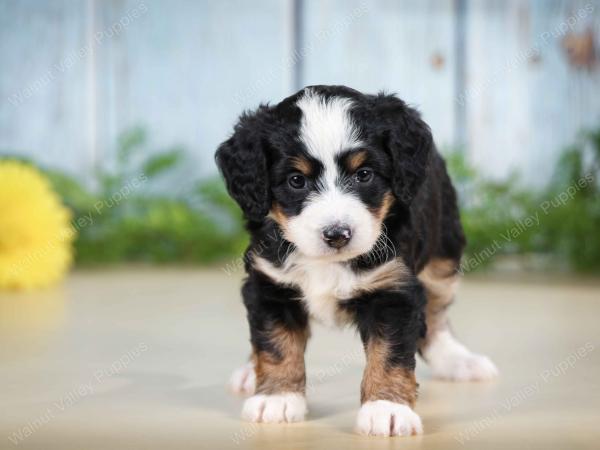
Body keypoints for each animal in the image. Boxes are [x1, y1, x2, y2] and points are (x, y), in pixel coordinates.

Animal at [216, 84, 496, 436]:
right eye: (296, 180)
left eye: (364, 175)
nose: (337, 234)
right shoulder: (270, 284)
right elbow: (276, 343)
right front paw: (277, 398)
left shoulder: (394, 289)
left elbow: (389, 354)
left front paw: (387, 408)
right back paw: (249, 371)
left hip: (443, 252)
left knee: (436, 313)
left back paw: (458, 360)